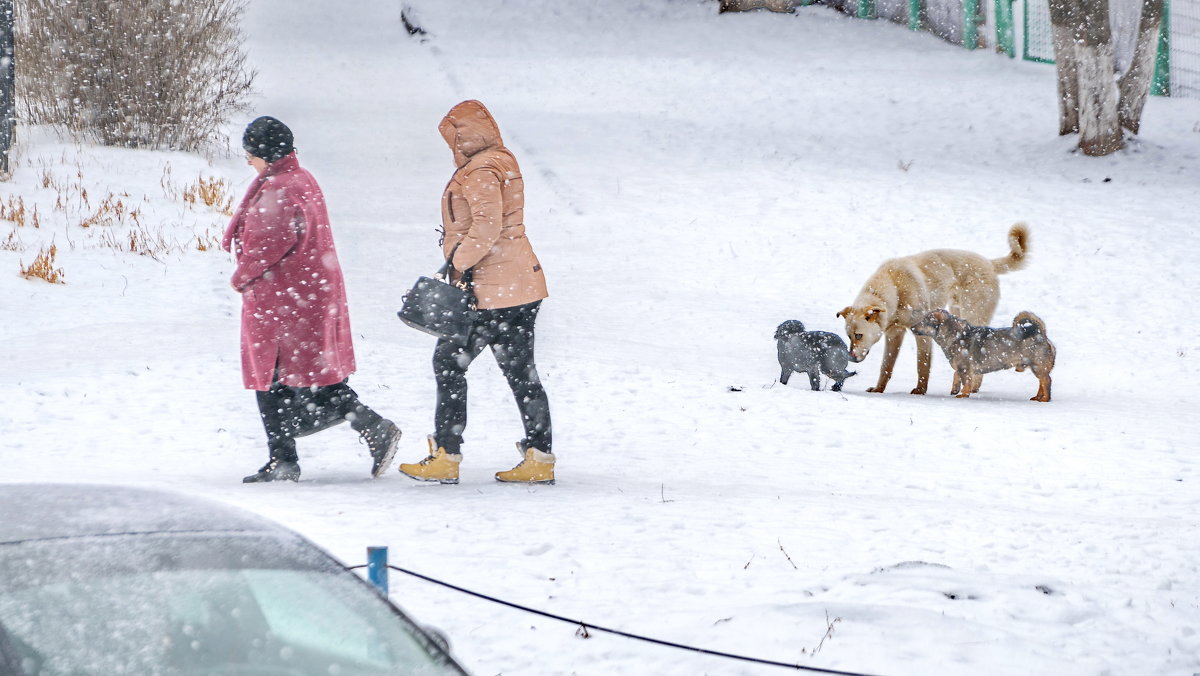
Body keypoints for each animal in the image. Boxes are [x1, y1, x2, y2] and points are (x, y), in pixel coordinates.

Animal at [835, 225, 1032, 393]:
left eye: (859, 335)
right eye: (849, 336)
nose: (851, 358)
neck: (894, 288)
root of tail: (989, 263)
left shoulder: (921, 333)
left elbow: (922, 364)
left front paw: (920, 391)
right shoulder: (894, 334)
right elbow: (886, 366)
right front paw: (878, 389)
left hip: (973, 316)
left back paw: (973, 387)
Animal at [912, 309, 1056, 401]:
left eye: (924, 321)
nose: (912, 327)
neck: (956, 335)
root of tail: (1041, 333)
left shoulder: (964, 368)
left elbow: (966, 383)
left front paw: (963, 394)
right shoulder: (961, 367)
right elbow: (956, 375)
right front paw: (955, 389)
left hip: (1038, 366)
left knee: (1046, 381)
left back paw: (1045, 399)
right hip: (1037, 368)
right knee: (1041, 383)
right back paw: (1038, 397)